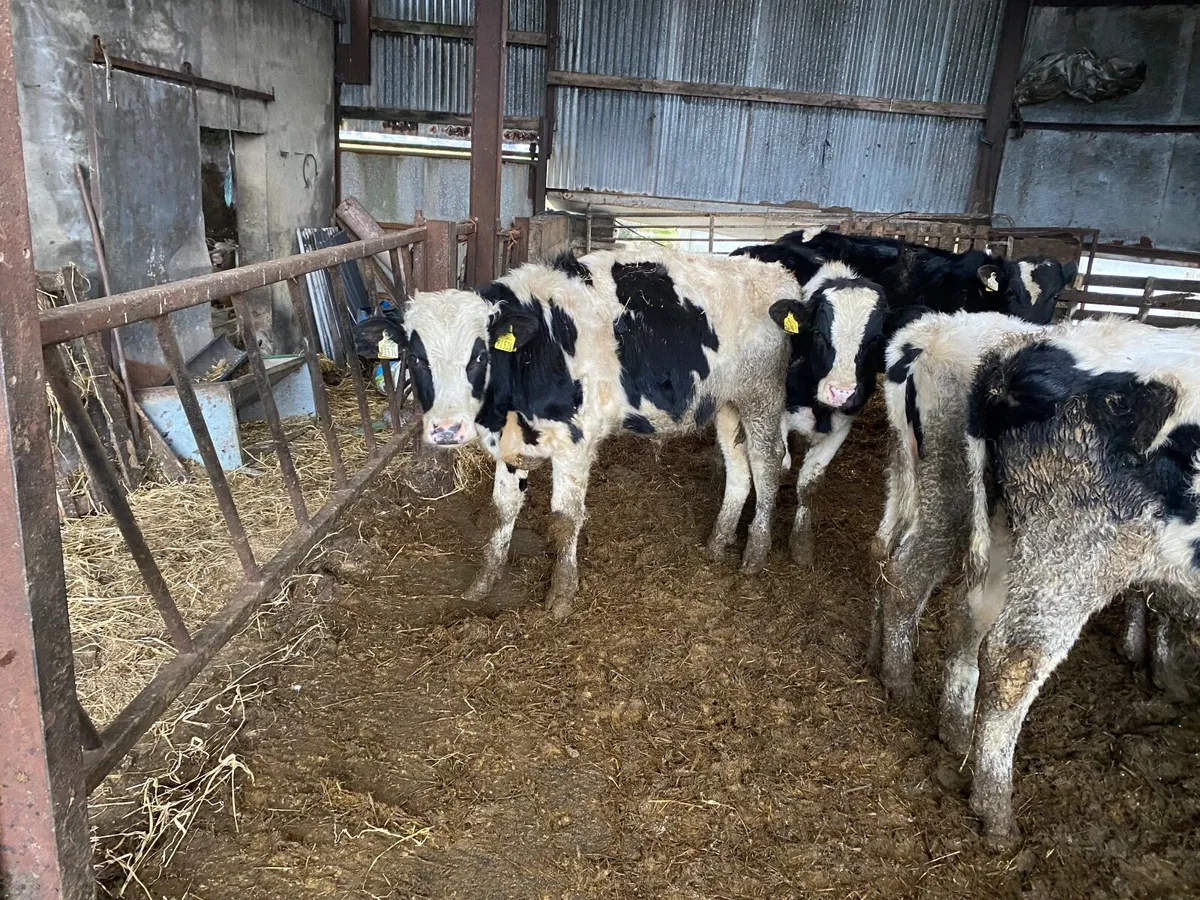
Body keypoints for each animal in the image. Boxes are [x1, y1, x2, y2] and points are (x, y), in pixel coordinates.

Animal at [354, 249, 799, 618]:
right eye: (416, 357)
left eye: (480, 355)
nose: (447, 429)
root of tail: (776, 272)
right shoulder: (511, 445)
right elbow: (502, 510)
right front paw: (484, 581)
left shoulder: (575, 442)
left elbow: (565, 519)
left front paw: (562, 594)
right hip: (727, 404)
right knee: (739, 466)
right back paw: (718, 541)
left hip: (762, 395)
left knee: (766, 463)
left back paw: (755, 553)